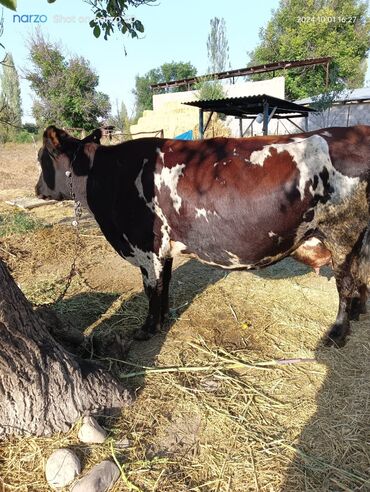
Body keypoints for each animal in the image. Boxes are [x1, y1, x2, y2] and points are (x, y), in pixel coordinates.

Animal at [36, 125, 370, 346]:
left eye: (42, 159)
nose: (38, 189)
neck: (108, 174)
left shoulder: (146, 249)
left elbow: (151, 288)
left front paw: (147, 328)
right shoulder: (163, 249)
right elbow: (165, 285)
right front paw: (163, 318)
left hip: (342, 232)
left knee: (345, 283)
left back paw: (337, 332)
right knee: (360, 275)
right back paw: (358, 313)